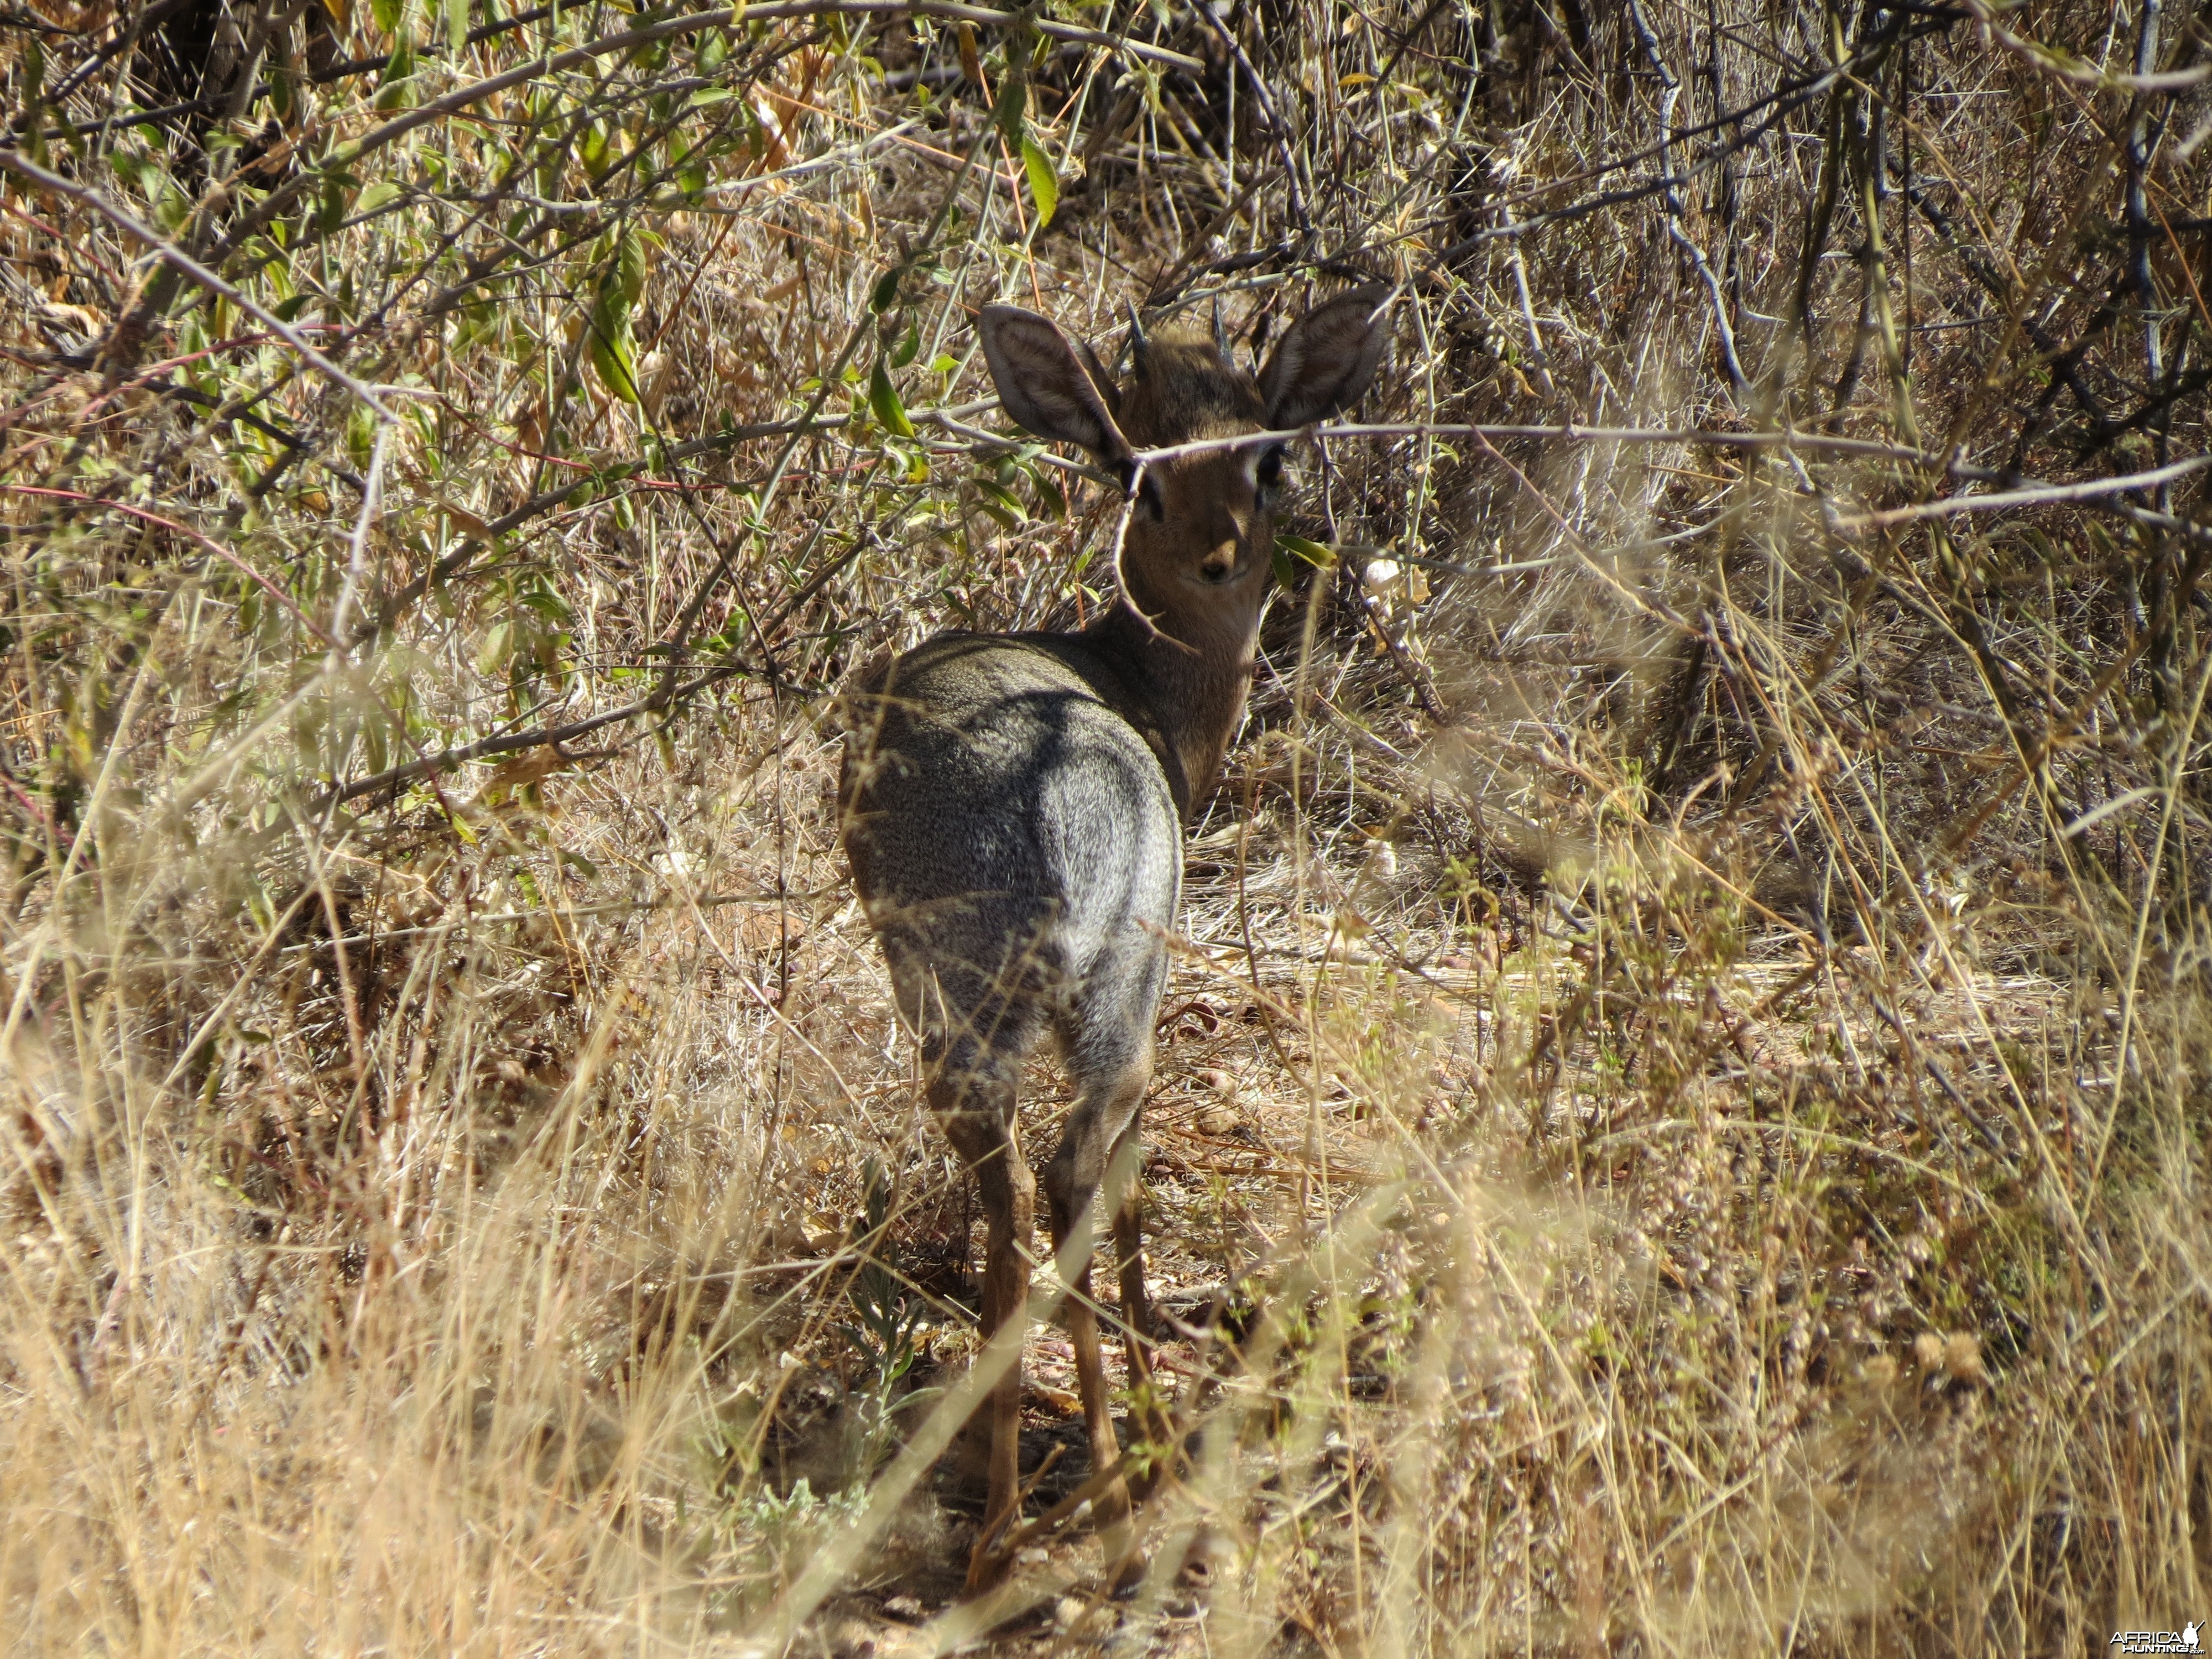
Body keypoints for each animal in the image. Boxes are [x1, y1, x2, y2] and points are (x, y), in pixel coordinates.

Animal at [841, 290, 1380, 1601]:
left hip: (954, 1024)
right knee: (1080, 1171)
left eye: (1264, 451)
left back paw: (996, 1522)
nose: (1221, 554)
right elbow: (1133, 1193)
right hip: (1112, 1006)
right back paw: (1111, 1472)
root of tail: (1040, 813)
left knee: (1003, 1195)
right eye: (1140, 470)